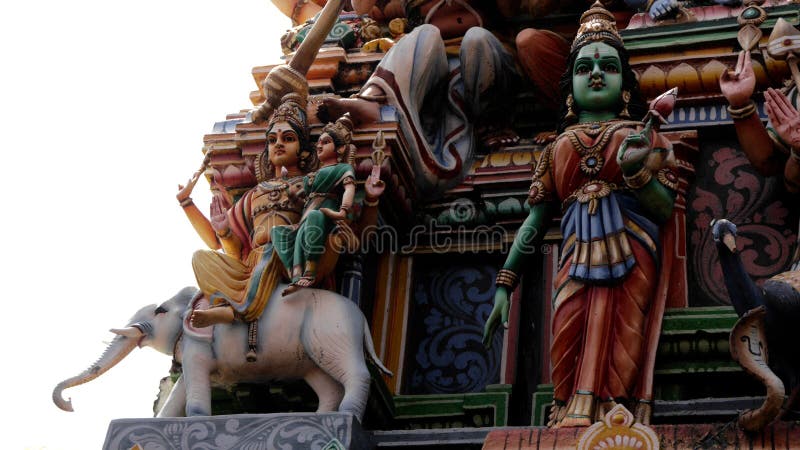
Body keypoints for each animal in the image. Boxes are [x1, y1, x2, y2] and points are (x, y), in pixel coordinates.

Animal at [52, 286, 390, 420]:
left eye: (160, 311)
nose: (69, 404)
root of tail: (362, 318)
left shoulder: (198, 344)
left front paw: (196, 419)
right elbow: (180, 390)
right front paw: (163, 420)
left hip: (333, 332)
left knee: (355, 373)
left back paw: (348, 415)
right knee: (325, 383)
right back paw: (324, 417)